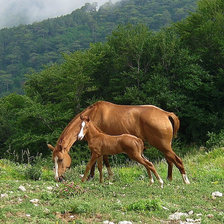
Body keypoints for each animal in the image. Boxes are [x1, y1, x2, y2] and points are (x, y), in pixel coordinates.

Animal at [48, 100, 190, 185]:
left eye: (61, 159)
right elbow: (101, 161)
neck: (94, 114)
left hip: (163, 146)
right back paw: (169, 179)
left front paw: (93, 177)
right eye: (53, 160)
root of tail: (166, 114)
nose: (57, 178)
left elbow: (99, 162)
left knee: (177, 160)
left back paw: (185, 180)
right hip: (164, 146)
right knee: (169, 160)